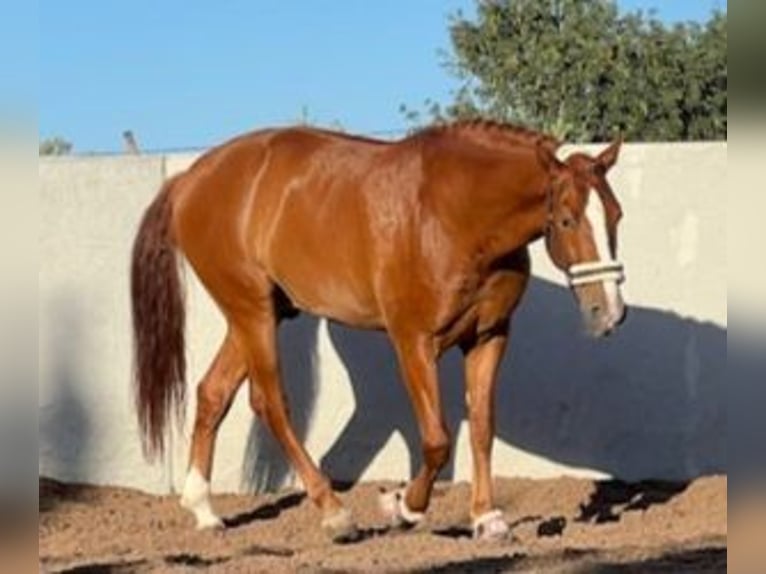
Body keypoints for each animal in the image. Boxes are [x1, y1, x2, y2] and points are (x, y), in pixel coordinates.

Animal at [130, 119, 624, 544]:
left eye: (615, 216)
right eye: (567, 219)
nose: (609, 312)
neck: (453, 212)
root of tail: (188, 181)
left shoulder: (489, 337)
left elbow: (482, 428)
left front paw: (487, 519)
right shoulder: (413, 342)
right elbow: (437, 440)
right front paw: (402, 505)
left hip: (258, 314)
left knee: (213, 393)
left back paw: (203, 510)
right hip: (251, 312)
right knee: (270, 403)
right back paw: (334, 513)